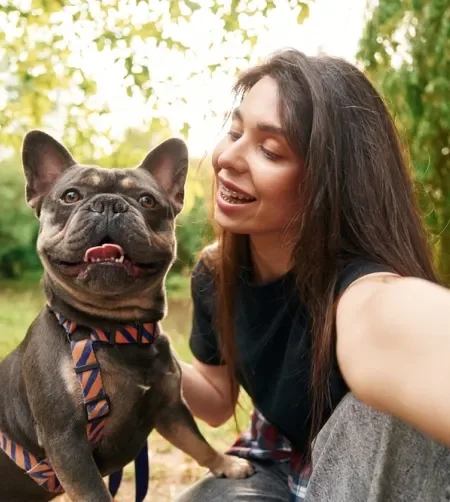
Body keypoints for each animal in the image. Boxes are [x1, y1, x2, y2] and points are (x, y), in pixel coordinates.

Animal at [0, 131, 253, 500]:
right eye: (70, 196)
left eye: (147, 200)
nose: (109, 203)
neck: (114, 329)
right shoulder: (67, 441)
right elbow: (95, 493)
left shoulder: (170, 408)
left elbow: (196, 442)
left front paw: (226, 464)